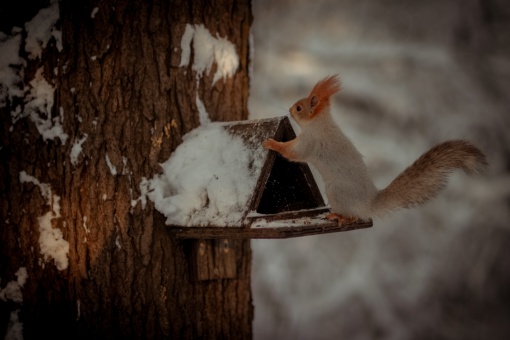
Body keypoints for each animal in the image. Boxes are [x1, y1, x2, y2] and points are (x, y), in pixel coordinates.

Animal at [264, 75, 488, 223]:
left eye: (299, 108)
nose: (290, 109)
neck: (320, 123)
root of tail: (368, 204)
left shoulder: (311, 142)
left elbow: (294, 153)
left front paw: (272, 143)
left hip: (337, 191)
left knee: (354, 216)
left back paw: (339, 216)